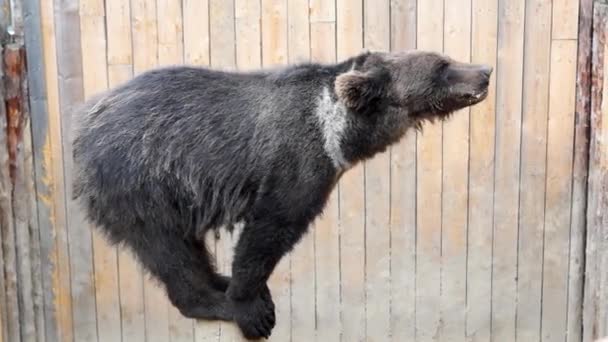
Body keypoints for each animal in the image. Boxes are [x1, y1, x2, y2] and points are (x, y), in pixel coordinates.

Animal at [71, 50, 492, 340]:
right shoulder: (297, 163)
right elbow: (271, 228)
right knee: (167, 248)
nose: (485, 72)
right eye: (442, 65)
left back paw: (218, 279)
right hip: (141, 178)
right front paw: (252, 308)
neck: (337, 129)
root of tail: (85, 120)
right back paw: (211, 299)